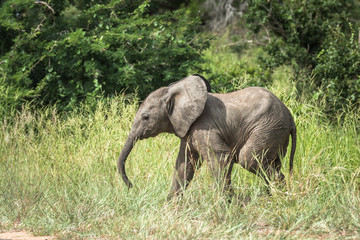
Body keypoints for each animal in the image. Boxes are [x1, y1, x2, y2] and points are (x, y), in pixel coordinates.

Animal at [116, 73, 296, 199]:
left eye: (145, 117)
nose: (133, 188)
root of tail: (290, 117)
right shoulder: (188, 129)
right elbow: (184, 163)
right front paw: (170, 203)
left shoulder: (204, 126)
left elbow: (220, 157)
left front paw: (227, 202)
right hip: (275, 132)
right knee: (273, 163)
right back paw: (274, 196)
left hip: (267, 127)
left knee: (249, 158)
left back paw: (280, 196)